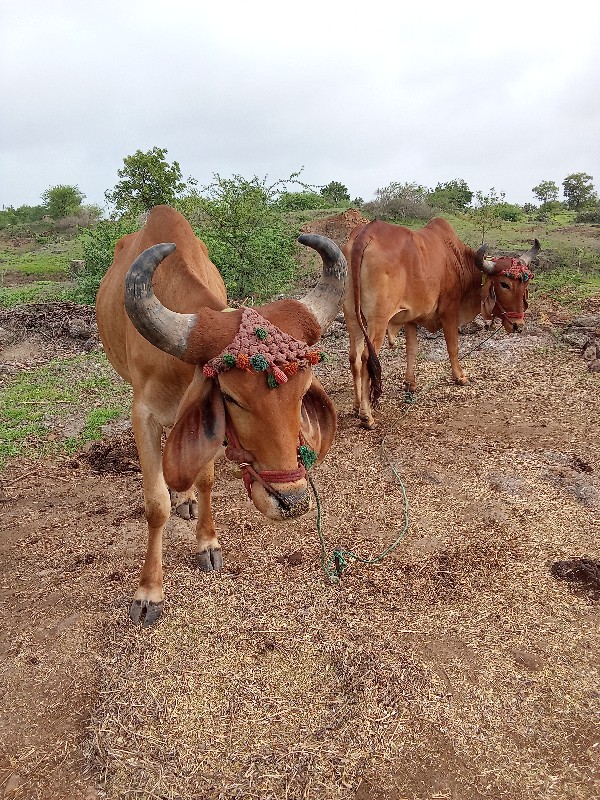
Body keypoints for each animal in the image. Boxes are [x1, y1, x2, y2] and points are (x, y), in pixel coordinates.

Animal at [95, 205, 344, 624]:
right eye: (231, 396)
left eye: (302, 391)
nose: (292, 502)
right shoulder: (142, 416)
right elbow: (155, 504)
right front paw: (149, 592)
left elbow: (206, 480)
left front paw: (207, 543)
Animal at [340, 216, 540, 428]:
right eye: (504, 284)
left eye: (526, 282)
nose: (518, 325)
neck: (457, 259)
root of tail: (366, 234)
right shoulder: (449, 311)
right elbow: (452, 347)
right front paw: (460, 376)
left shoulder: (410, 317)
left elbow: (412, 349)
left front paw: (410, 383)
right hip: (378, 320)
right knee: (366, 358)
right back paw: (366, 415)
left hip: (352, 316)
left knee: (354, 357)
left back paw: (356, 406)